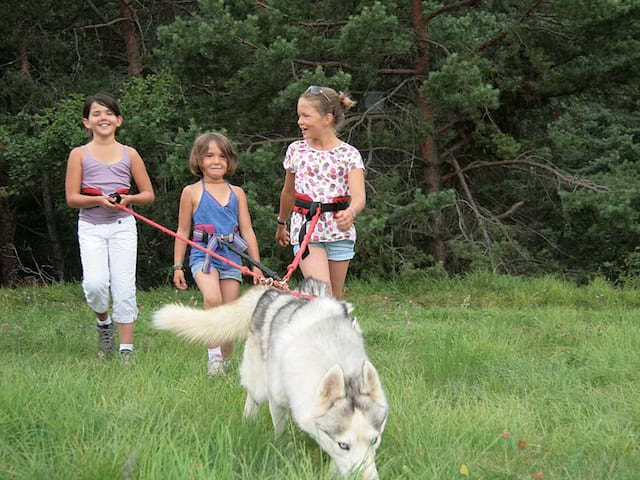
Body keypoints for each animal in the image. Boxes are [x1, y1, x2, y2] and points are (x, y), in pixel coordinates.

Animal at [152, 280, 388, 478]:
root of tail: (273, 290)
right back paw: (249, 419)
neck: (331, 348)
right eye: (343, 445)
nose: (370, 479)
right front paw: (281, 446)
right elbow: (280, 430)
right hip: (258, 380)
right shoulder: (278, 399)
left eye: (374, 440)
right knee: (252, 395)